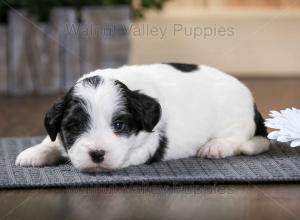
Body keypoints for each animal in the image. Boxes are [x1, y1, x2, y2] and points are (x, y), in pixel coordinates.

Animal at [15, 63, 270, 172]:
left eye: (119, 125)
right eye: (74, 127)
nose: (97, 154)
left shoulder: (150, 143)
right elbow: (52, 140)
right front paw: (36, 152)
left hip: (234, 117)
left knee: (237, 137)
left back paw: (215, 146)